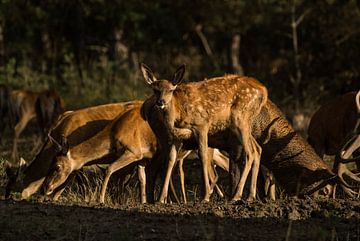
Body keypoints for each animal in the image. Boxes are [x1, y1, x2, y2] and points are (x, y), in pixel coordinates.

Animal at [141, 63, 268, 202]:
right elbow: (170, 160)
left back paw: (237, 196)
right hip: (244, 123)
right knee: (257, 149)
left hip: (240, 117)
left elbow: (203, 156)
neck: (178, 114)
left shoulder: (202, 124)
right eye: (155, 90)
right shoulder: (177, 137)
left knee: (250, 152)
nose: (161, 102)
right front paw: (161, 199)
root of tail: (263, 90)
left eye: (170, 90)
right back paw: (250, 196)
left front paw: (206, 196)